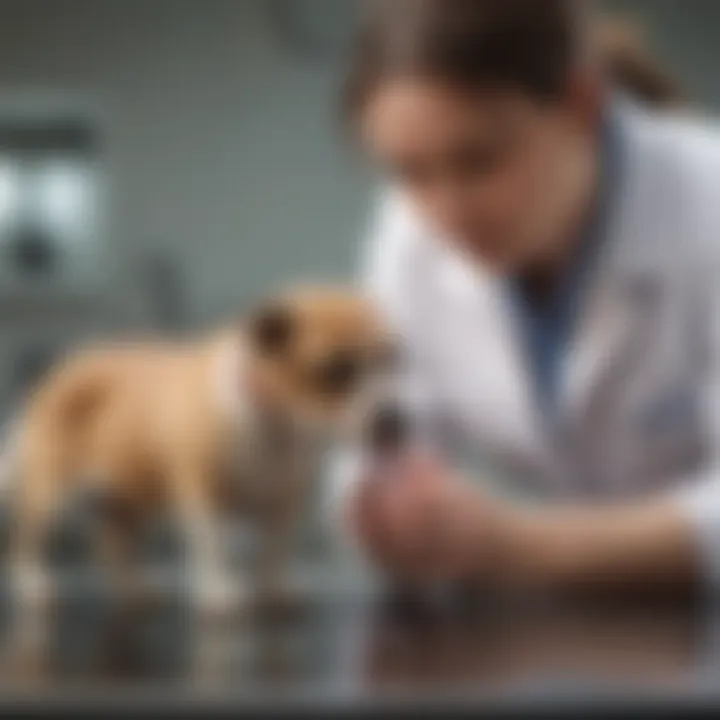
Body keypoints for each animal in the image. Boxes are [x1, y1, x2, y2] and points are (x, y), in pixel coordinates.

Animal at [0, 284, 394, 616]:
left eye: (393, 362)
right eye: (335, 370)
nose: (391, 418)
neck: (275, 427)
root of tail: (65, 369)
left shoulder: (284, 503)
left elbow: (274, 550)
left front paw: (273, 588)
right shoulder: (203, 494)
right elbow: (214, 545)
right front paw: (219, 592)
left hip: (130, 498)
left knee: (110, 545)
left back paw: (134, 590)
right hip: (53, 492)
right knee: (27, 539)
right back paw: (34, 585)